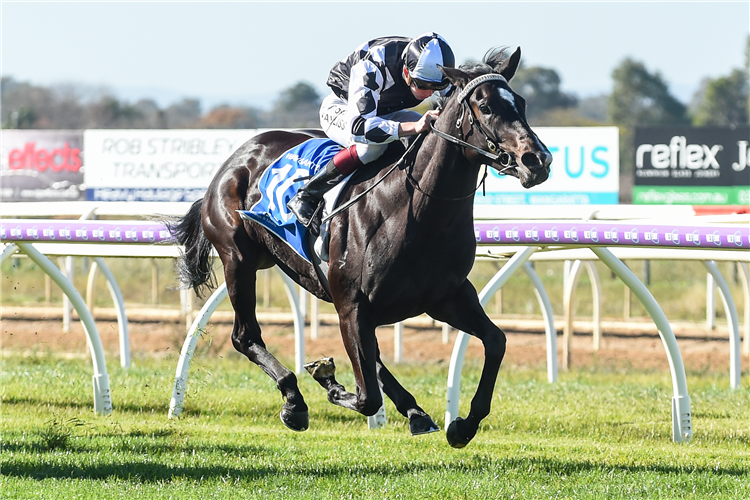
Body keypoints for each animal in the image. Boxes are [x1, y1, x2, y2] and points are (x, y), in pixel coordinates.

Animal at [173, 47, 556, 450]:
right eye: (484, 106)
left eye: (521, 103)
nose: (537, 160)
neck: (415, 209)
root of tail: (237, 157)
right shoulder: (353, 304)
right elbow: (366, 397)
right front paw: (326, 380)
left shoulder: (446, 297)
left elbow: (496, 341)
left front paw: (463, 425)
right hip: (240, 260)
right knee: (245, 336)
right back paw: (294, 400)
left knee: (372, 358)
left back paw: (415, 412)